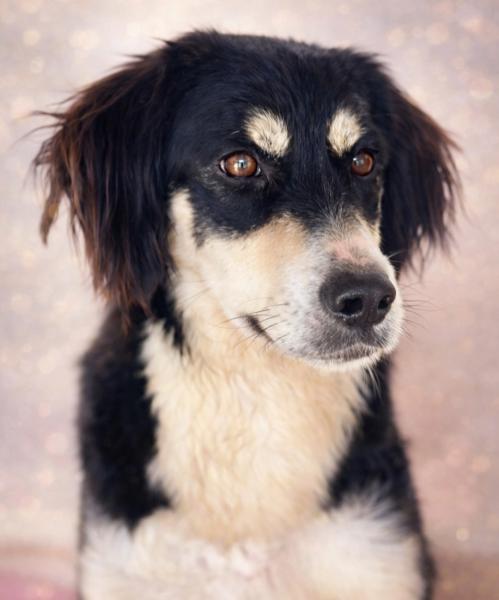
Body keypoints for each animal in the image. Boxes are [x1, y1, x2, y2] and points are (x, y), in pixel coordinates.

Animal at [35, 30, 459, 599]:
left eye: (364, 161)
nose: (370, 299)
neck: (253, 391)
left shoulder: (376, 551)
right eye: (240, 164)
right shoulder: (125, 563)